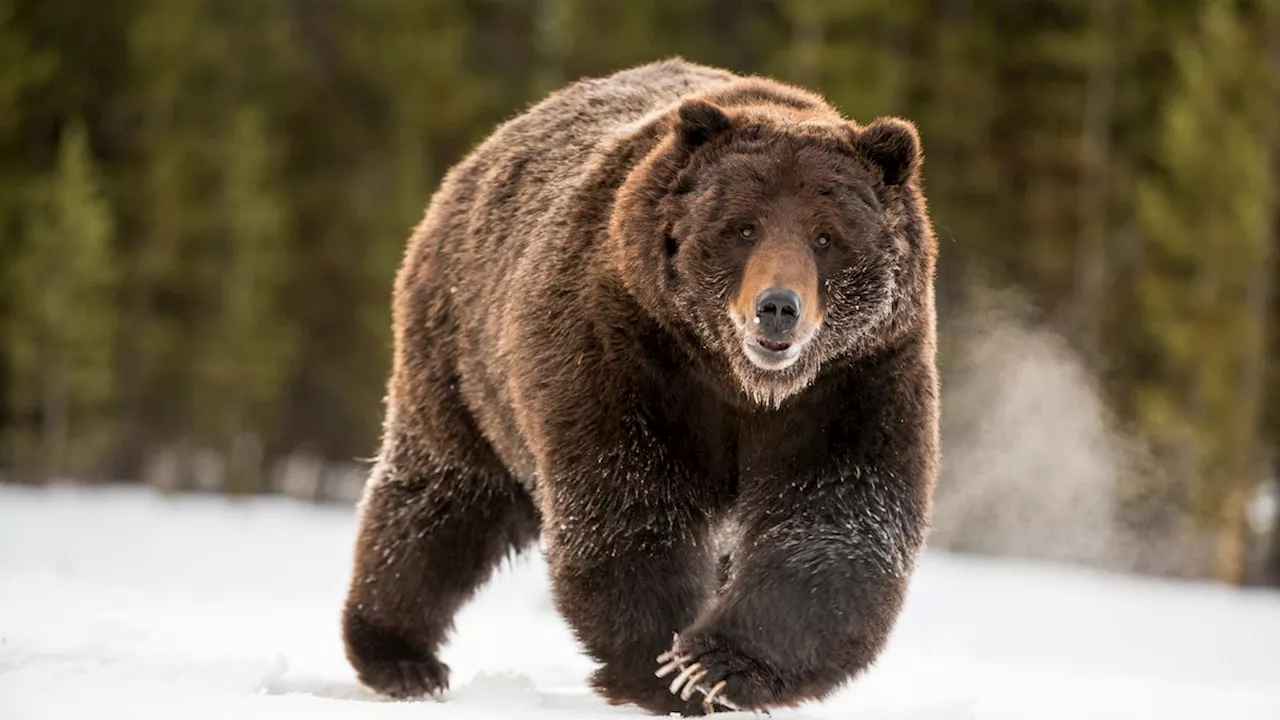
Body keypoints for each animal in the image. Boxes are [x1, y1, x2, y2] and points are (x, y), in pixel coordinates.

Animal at [340, 58, 942, 712]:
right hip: (463, 356)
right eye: (744, 228)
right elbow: (629, 502)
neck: (742, 384)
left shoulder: (856, 380)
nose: (778, 308)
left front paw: (714, 666)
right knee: (442, 498)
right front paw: (664, 664)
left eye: (825, 236)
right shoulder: (624, 349)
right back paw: (399, 656)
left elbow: (835, 520)